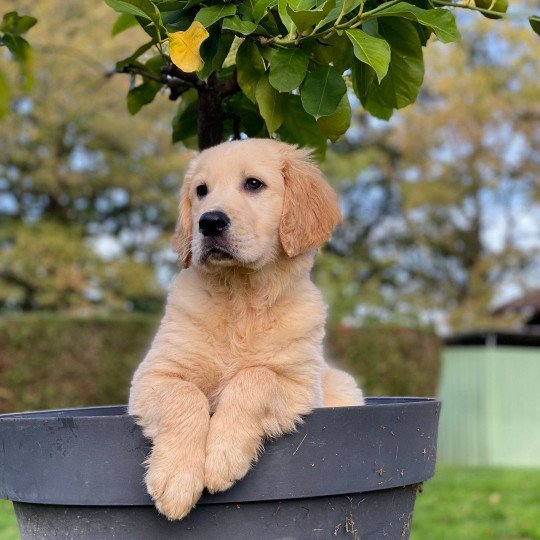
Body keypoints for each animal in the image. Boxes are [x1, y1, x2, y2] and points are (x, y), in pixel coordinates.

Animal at [128, 138, 362, 520]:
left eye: (253, 184)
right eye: (201, 191)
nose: (209, 222)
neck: (241, 301)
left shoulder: (297, 384)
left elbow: (255, 378)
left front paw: (223, 455)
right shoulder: (155, 375)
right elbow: (184, 395)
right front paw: (176, 477)